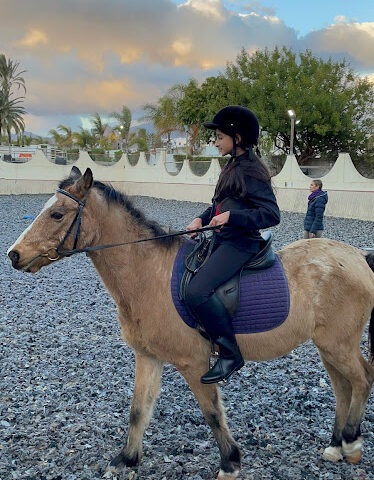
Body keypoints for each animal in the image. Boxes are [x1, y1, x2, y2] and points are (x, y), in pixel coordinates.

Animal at [6, 166, 374, 480]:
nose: (13, 255)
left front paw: (230, 463)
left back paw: (352, 443)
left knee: (361, 379)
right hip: (327, 346)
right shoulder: (148, 356)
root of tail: (358, 256)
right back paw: (336, 445)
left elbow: (211, 412)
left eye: (57, 214)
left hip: (338, 344)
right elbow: (138, 409)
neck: (148, 274)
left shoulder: (194, 362)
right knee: (343, 387)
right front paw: (127, 459)